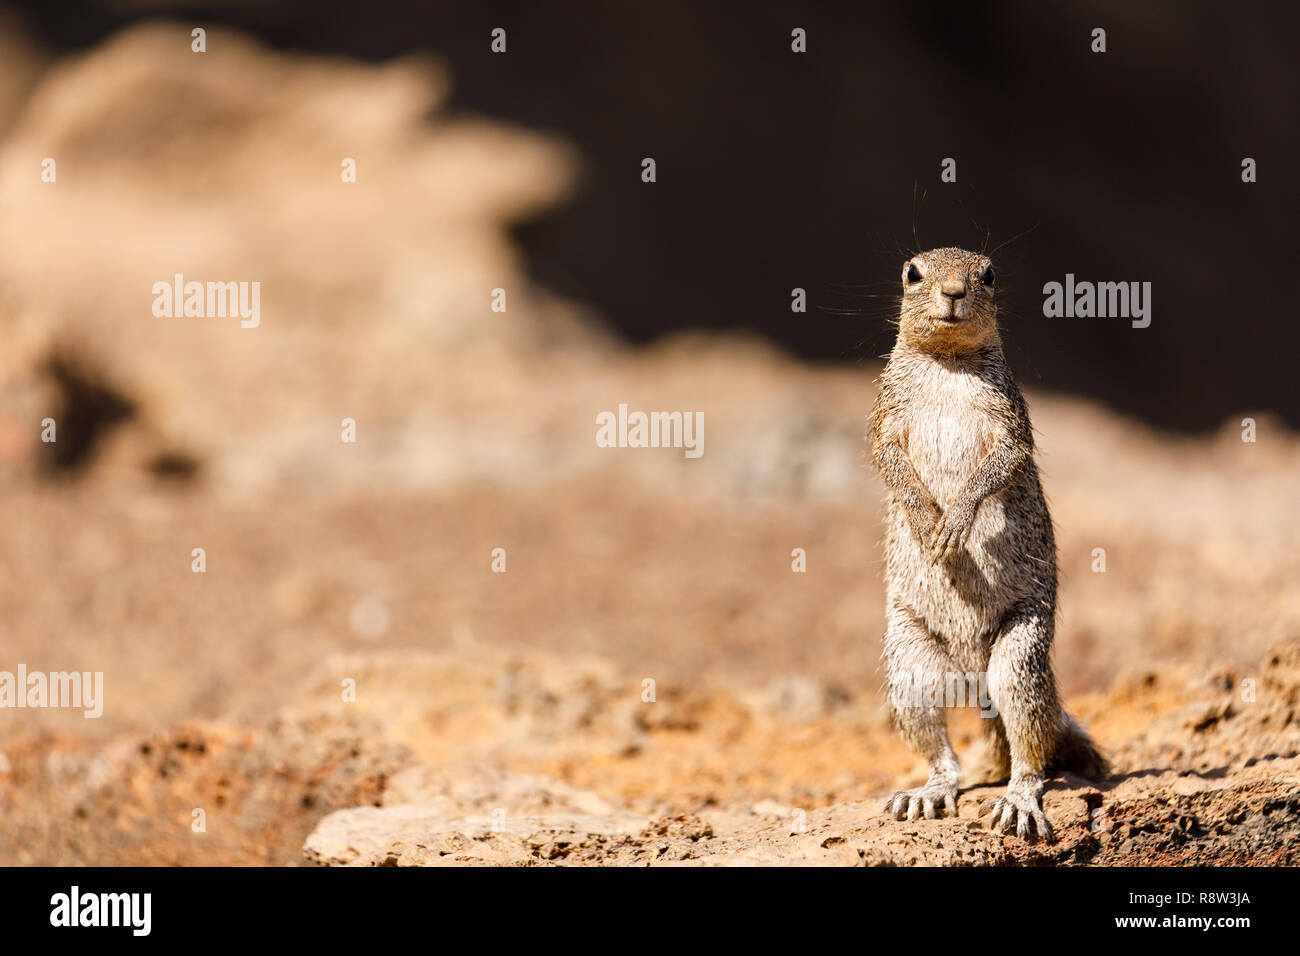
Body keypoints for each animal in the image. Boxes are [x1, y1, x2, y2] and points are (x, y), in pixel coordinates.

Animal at [873, 248, 1107, 842]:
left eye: (989, 274)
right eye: (912, 273)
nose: (954, 292)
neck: (949, 363)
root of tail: (972, 674)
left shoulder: (1011, 421)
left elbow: (1002, 463)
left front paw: (955, 520)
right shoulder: (884, 418)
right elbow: (889, 462)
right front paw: (926, 519)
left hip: (1019, 654)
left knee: (1031, 748)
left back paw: (1018, 801)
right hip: (909, 666)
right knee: (943, 755)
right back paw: (927, 793)